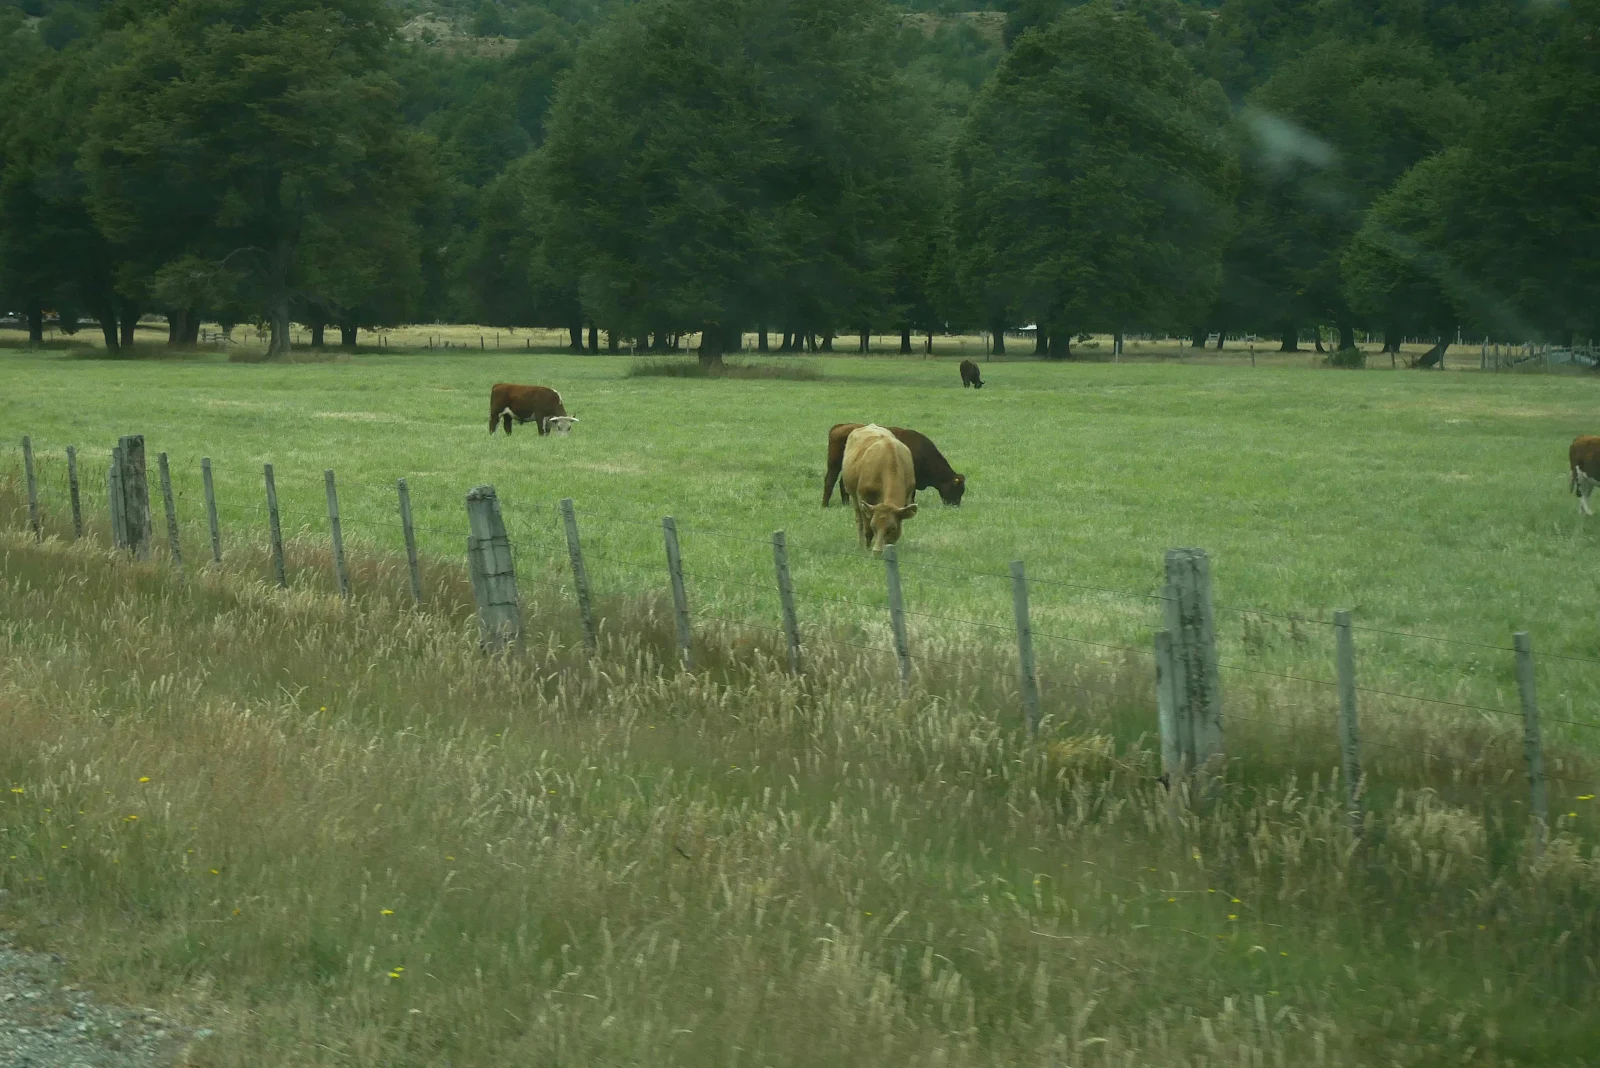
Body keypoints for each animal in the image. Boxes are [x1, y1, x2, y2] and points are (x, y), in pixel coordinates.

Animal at [822, 423, 965, 508]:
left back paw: (846, 504)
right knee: (830, 481)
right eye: (957, 489)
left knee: (841, 482)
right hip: (834, 465)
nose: (955, 506)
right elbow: (912, 494)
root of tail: (840, 426)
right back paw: (825, 505)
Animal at [841, 425, 918, 553]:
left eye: (892, 528)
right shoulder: (863, 498)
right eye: (874, 526)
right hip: (853, 495)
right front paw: (867, 549)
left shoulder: (906, 499)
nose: (877, 551)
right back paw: (860, 544)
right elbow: (867, 529)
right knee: (859, 520)